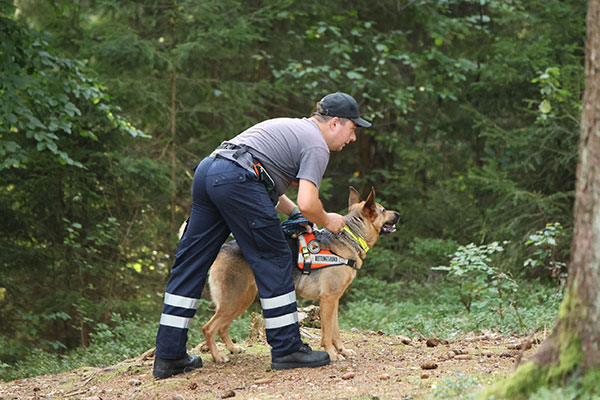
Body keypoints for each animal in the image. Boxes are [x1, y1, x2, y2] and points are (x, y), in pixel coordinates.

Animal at [199, 188, 400, 362]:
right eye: (383, 210)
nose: (398, 213)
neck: (351, 235)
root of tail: (223, 248)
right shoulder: (328, 300)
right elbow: (327, 333)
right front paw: (332, 353)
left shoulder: (334, 300)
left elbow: (335, 331)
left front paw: (342, 350)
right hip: (235, 300)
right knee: (209, 328)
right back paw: (218, 357)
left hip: (241, 300)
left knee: (222, 327)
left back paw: (232, 349)